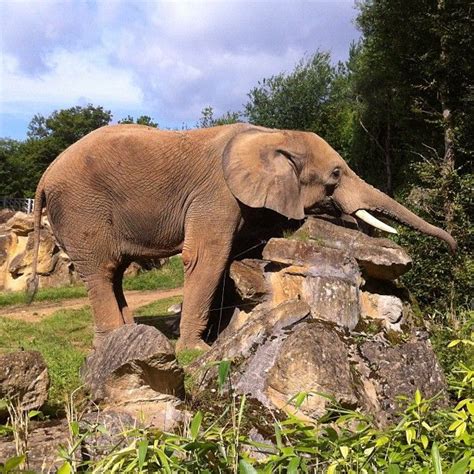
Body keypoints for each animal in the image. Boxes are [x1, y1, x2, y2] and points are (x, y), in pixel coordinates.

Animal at [26, 124, 456, 350]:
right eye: (335, 175)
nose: (453, 247)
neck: (272, 136)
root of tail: (44, 177)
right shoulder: (216, 194)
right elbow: (208, 258)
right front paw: (197, 350)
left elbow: (242, 251)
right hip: (82, 208)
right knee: (102, 270)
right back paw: (118, 343)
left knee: (113, 272)